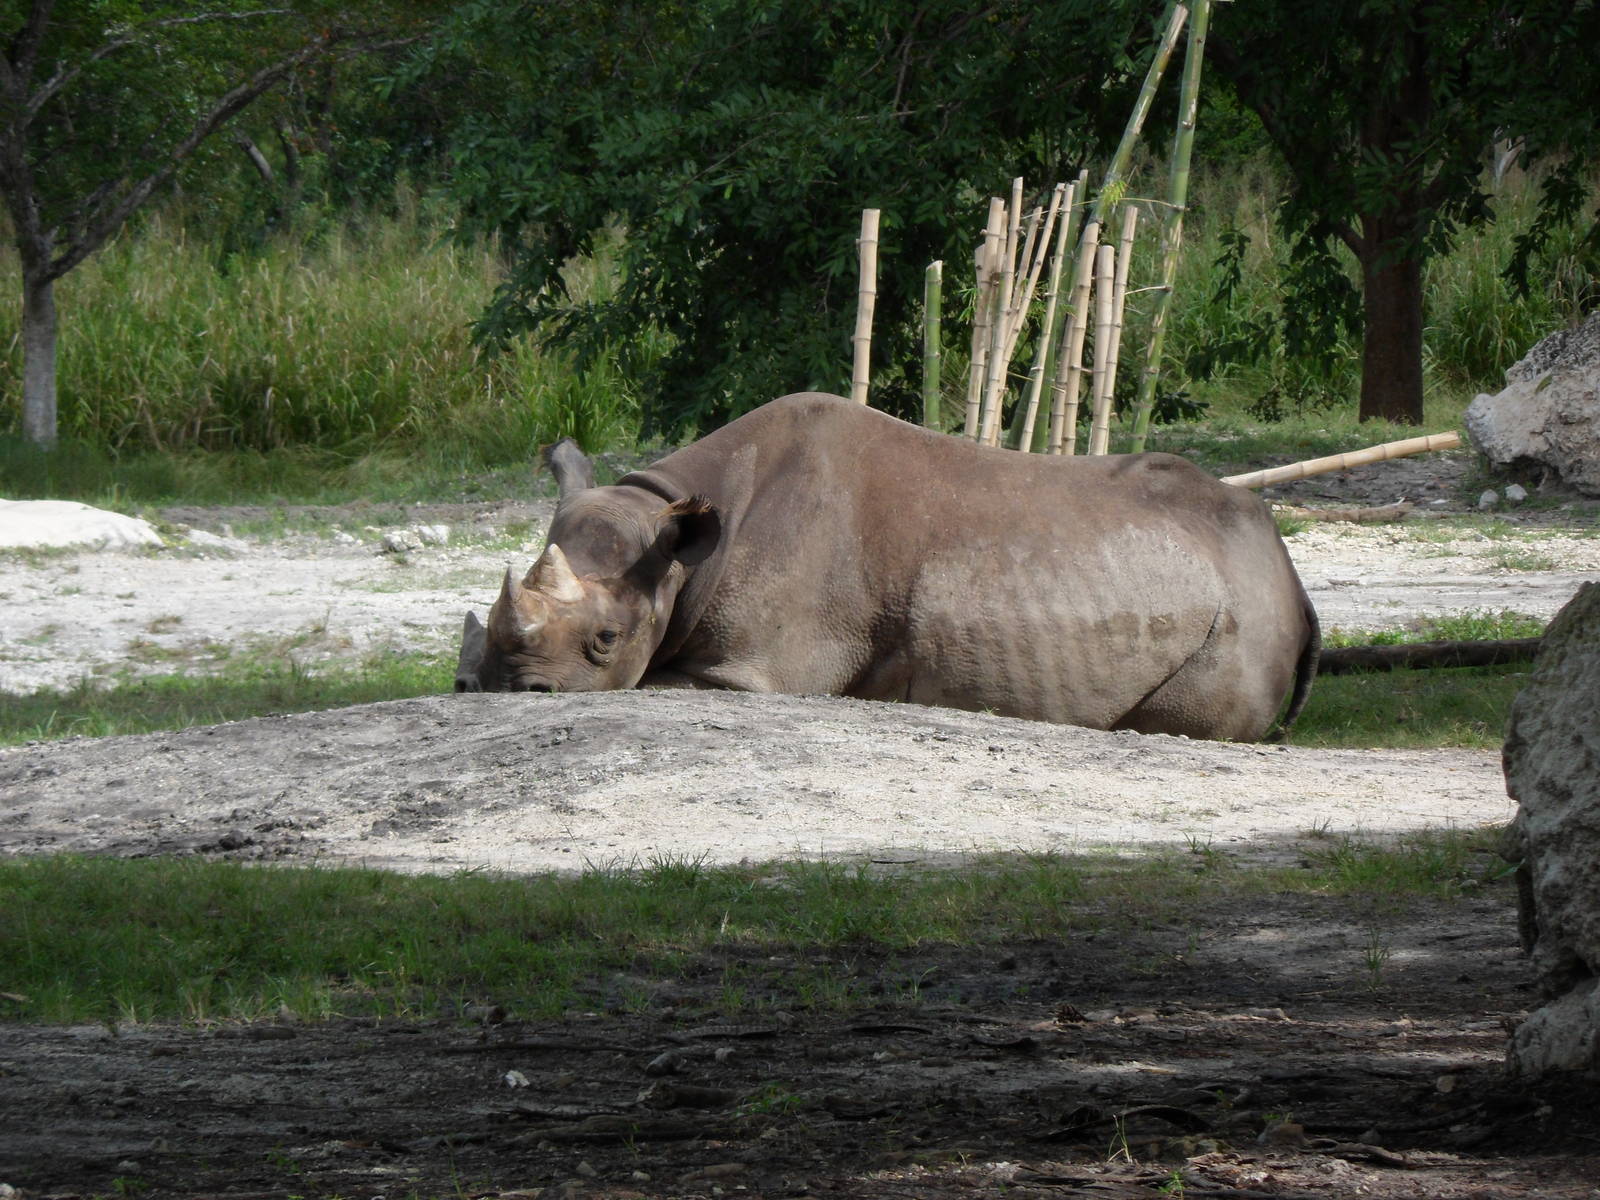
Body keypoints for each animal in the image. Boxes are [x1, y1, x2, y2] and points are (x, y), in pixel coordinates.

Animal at [456, 392, 1319, 741]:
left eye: (605, 640)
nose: (488, 686)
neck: (670, 539)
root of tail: (1289, 572)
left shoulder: (754, 673)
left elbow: (655, 684)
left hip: (1241, 614)